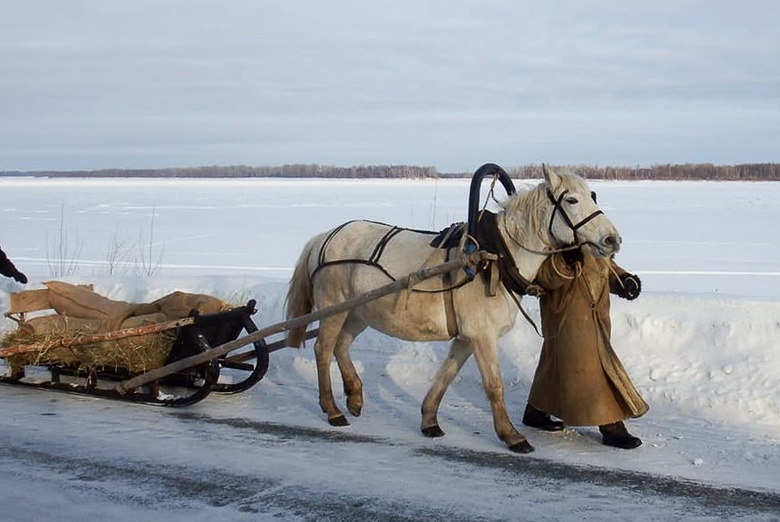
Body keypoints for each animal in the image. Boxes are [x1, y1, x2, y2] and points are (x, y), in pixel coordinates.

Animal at [286, 166, 620, 450]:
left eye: (593, 195)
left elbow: (446, 375)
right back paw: (332, 409)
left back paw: (354, 396)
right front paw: (511, 435)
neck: (494, 256)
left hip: (359, 312)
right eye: (572, 199)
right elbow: (494, 386)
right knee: (323, 349)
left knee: (341, 345)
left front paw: (429, 420)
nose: (612, 239)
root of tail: (325, 237)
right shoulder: (482, 336)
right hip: (334, 308)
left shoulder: (466, 337)